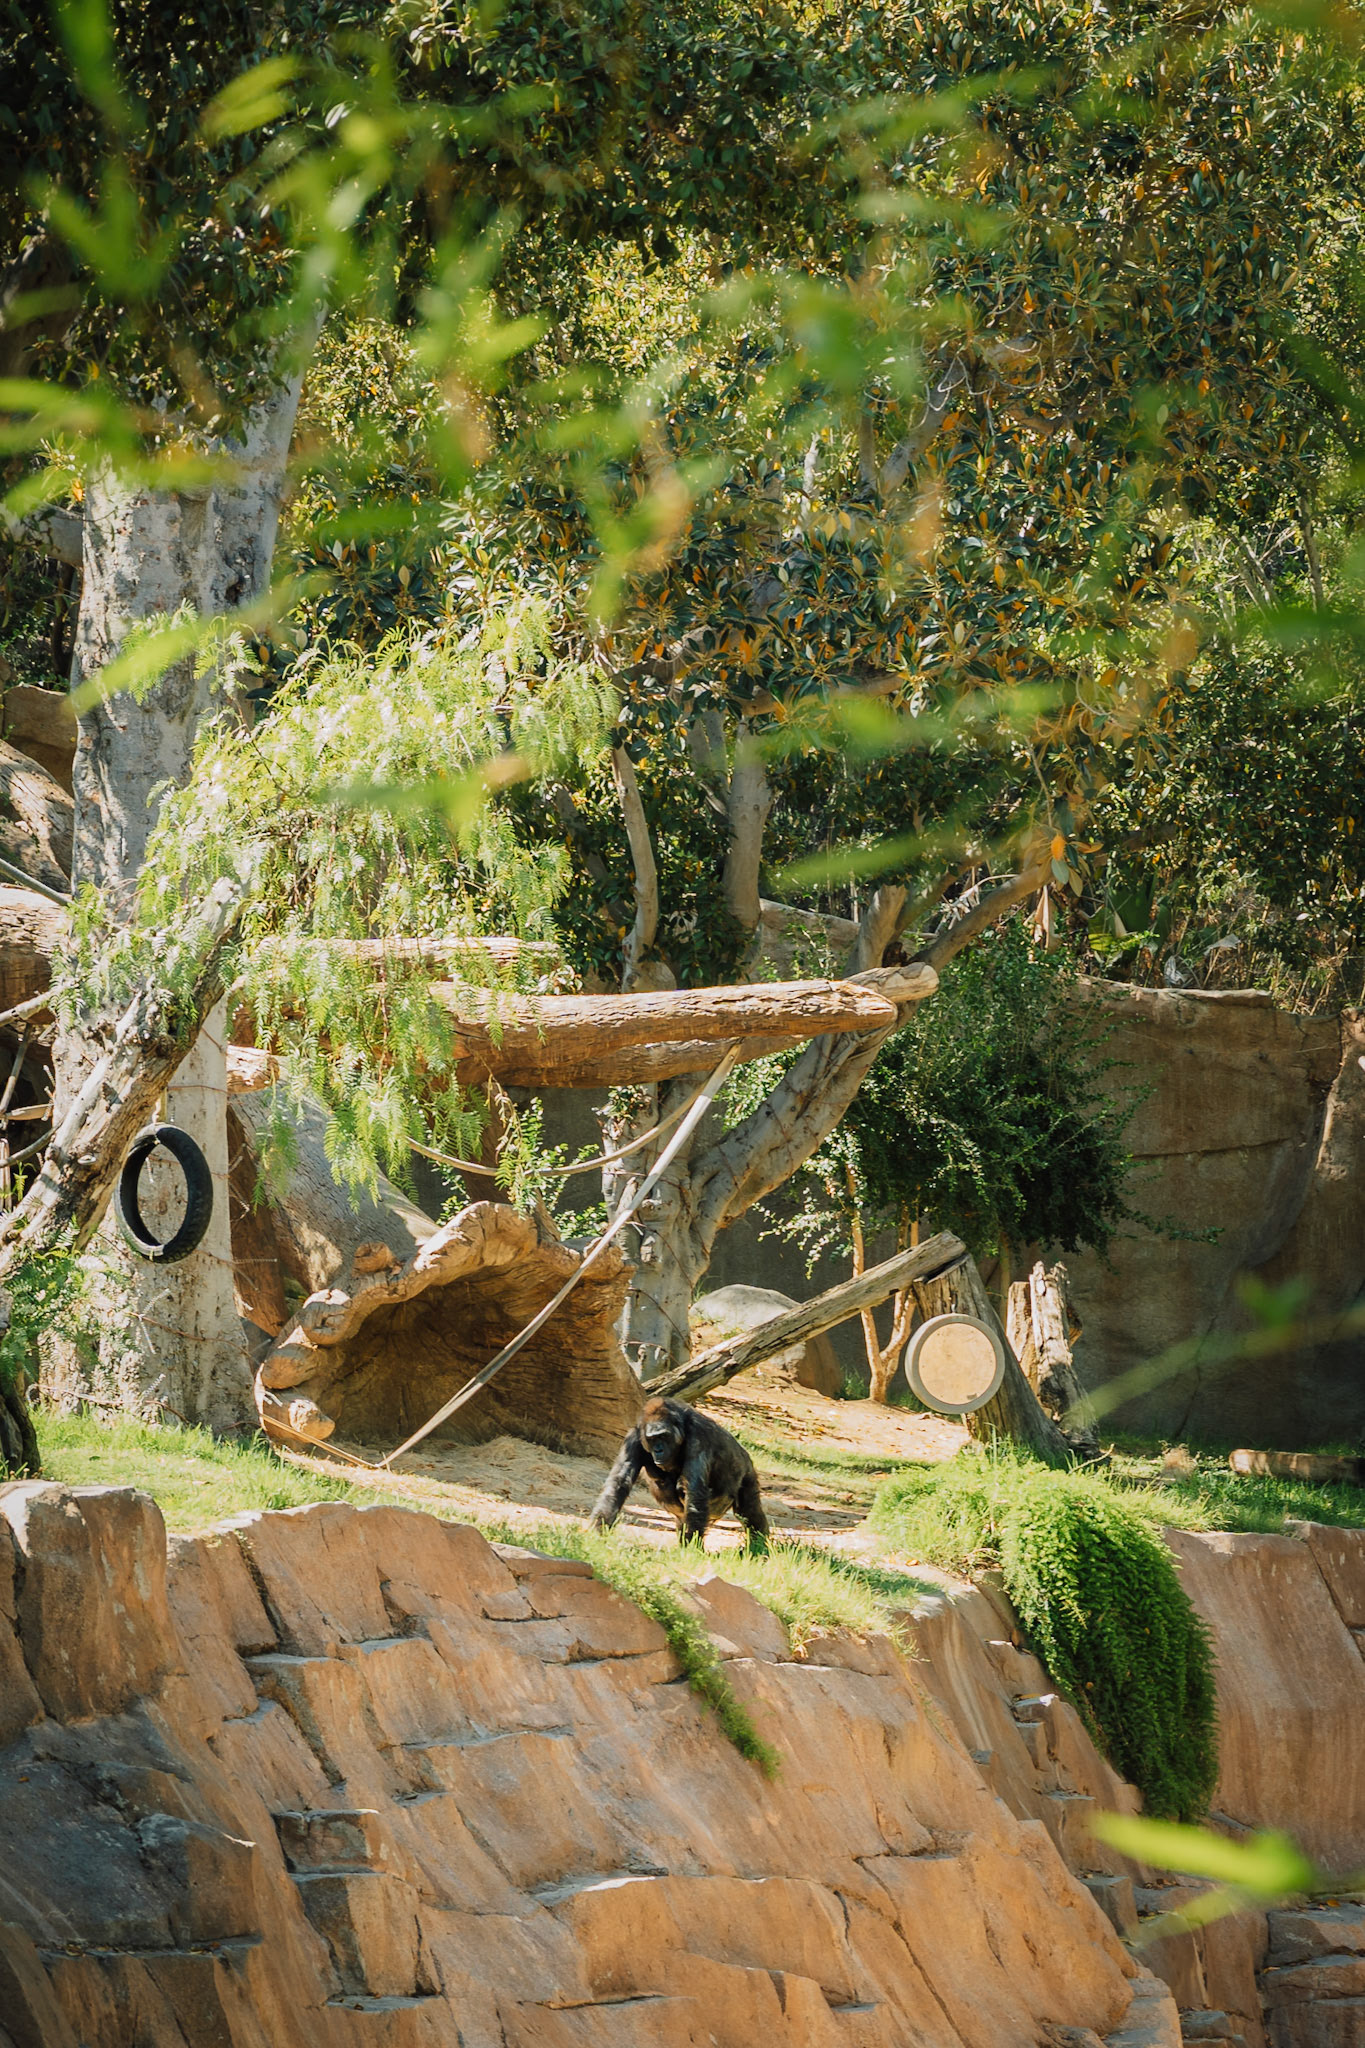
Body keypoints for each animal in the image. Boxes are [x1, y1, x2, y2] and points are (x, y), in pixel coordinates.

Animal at [589, 1396, 770, 1550]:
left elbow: (694, 1490)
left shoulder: (698, 1437)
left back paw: (759, 1546)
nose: (659, 1450)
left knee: (749, 1510)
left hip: (747, 1471)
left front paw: (692, 1549)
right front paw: (599, 1528)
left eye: (663, 1436)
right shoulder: (633, 1438)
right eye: (652, 1439)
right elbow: (619, 1482)